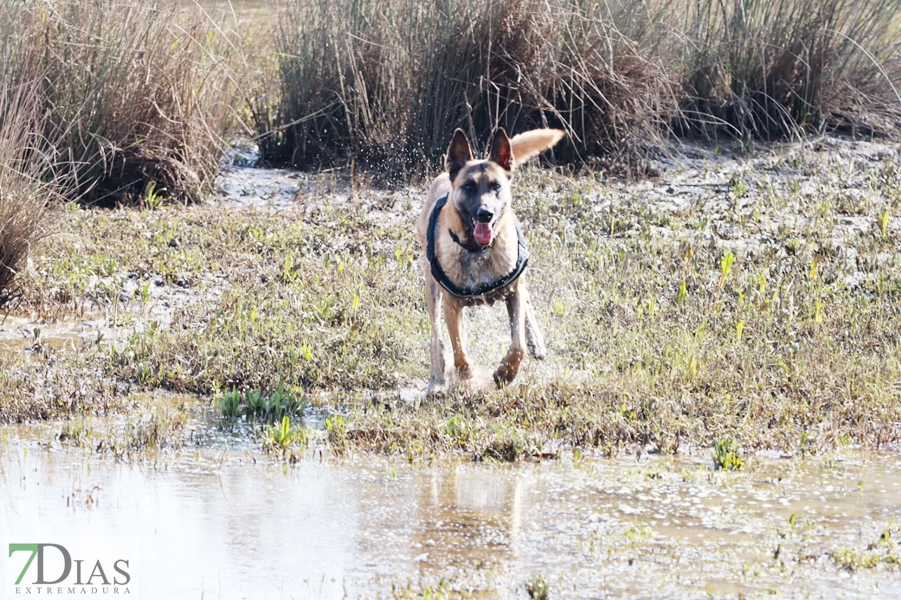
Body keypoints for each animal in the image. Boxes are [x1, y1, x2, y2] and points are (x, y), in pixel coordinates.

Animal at [416, 127, 564, 394]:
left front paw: (505, 373)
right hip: (432, 289)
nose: (485, 213)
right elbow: (459, 352)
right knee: (436, 336)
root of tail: (443, 174)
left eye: (496, 186)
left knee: (527, 306)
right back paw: (437, 377)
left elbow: (518, 346)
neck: (478, 251)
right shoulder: (451, 305)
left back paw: (535, 340)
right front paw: (466, 373)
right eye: (469, 186)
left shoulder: (514, 293)